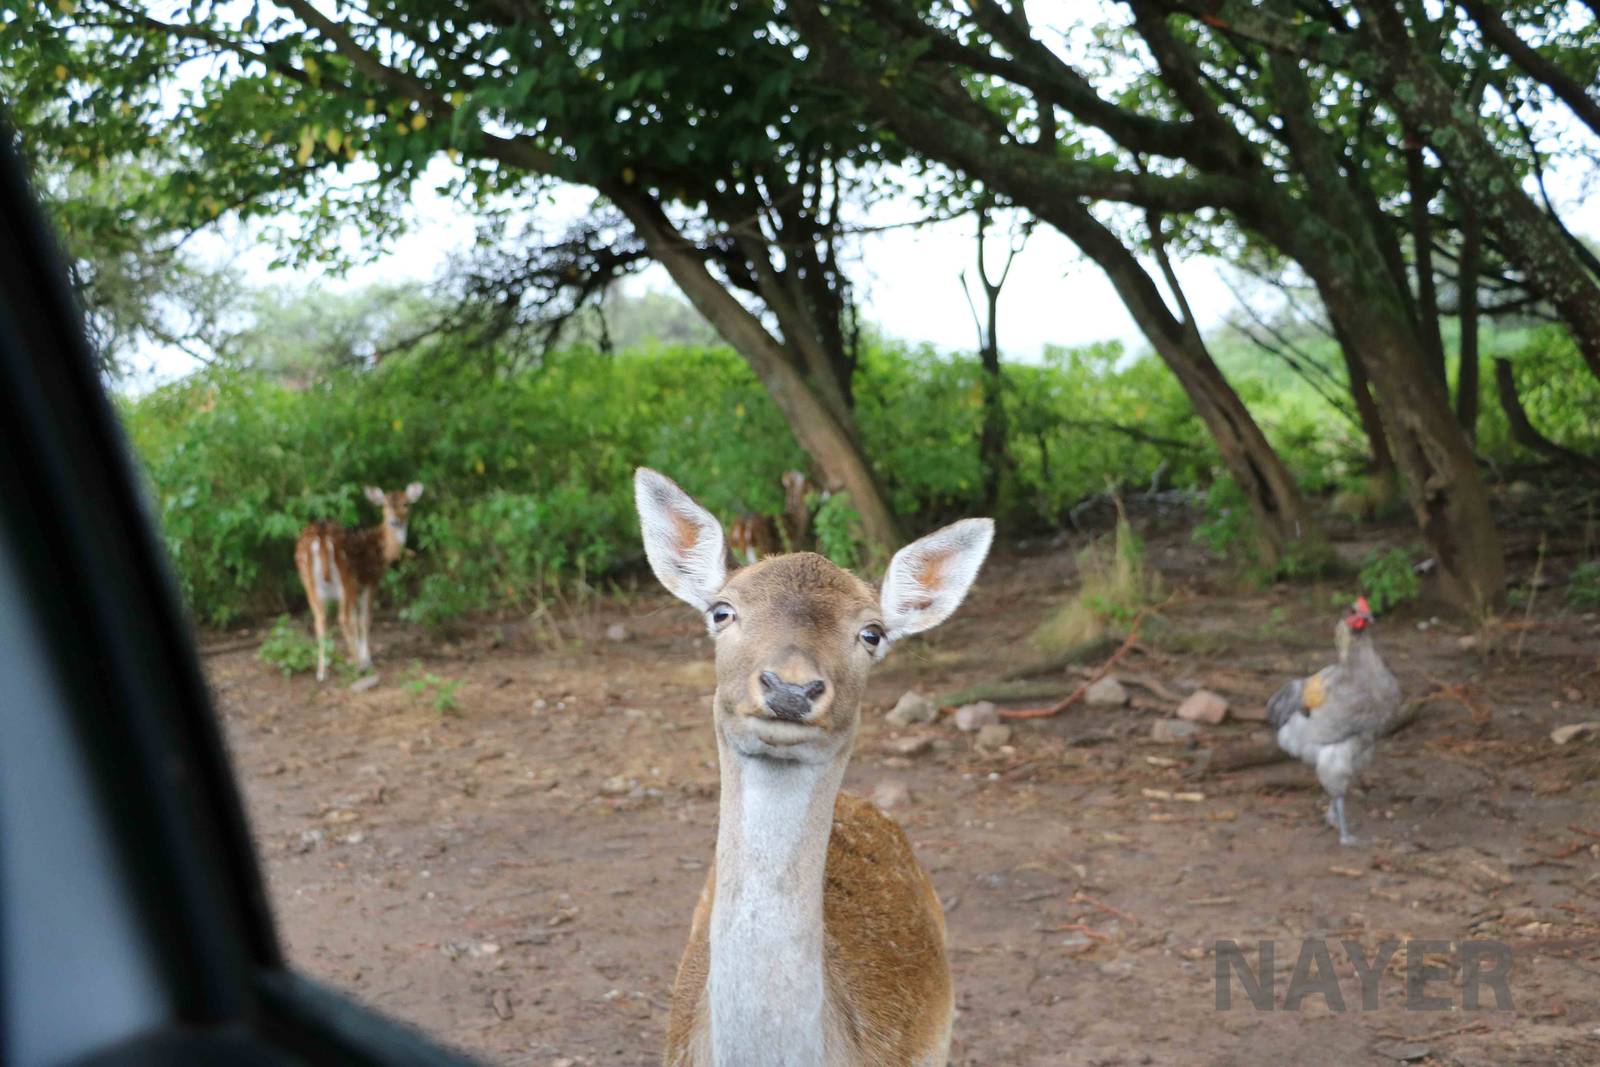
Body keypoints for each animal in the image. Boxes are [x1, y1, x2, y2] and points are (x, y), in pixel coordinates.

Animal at [293, 482, 423, 682]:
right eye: (384, 506)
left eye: (405, 504)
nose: (394, 521)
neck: (383, 550)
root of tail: (321, 537)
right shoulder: (371, 580)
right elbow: (364, 618)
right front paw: (366, 659)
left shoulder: (358, 586)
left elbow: (355, 619)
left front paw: (361, 656)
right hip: (346, 577)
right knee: (342, 618)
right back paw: (357, 666)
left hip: (308, 583)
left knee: (320, 620)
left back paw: (322, 672)